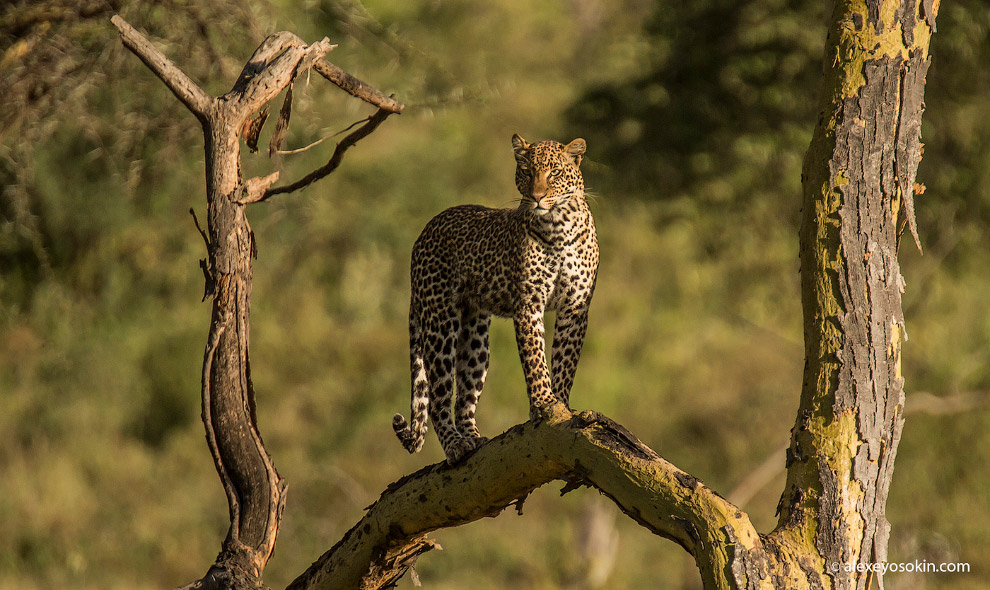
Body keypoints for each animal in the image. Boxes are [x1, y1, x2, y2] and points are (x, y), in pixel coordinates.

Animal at [392, 135, 600, 468]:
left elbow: (565, 361)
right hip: (440, 321)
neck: (559, 225)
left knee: (464, 396)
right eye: (527, 172)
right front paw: (543, 403)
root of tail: (424, 232)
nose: (537, 197)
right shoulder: (529, 304)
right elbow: (535, 360)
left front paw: (561, 404)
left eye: (555, 172)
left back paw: (473, 439)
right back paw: (455, 445)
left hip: (475, 334)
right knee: (438, 397)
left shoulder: (575, 307)